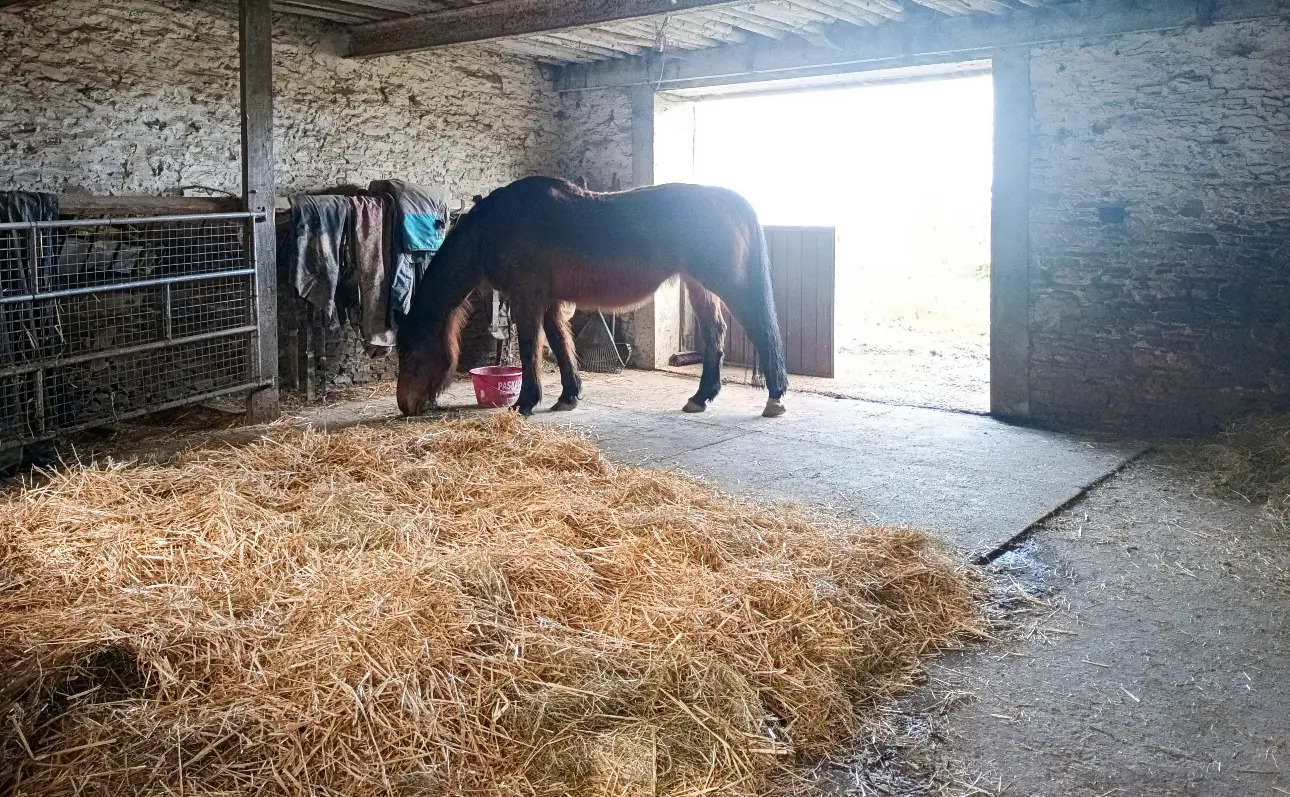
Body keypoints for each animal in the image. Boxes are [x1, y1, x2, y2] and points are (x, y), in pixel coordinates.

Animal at [397, 176, 789, 415]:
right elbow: (560, 344)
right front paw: (568, 395)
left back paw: (775, 397)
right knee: (715, 334)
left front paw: (525, 403)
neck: (494, 228)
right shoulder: (549, 301)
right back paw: (700, 397)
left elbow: (530, 349)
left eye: (412, 354)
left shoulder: (527, 298)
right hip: (699, 286)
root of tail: (727, 199)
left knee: (761, 329)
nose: (405, 404)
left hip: (725, 283)